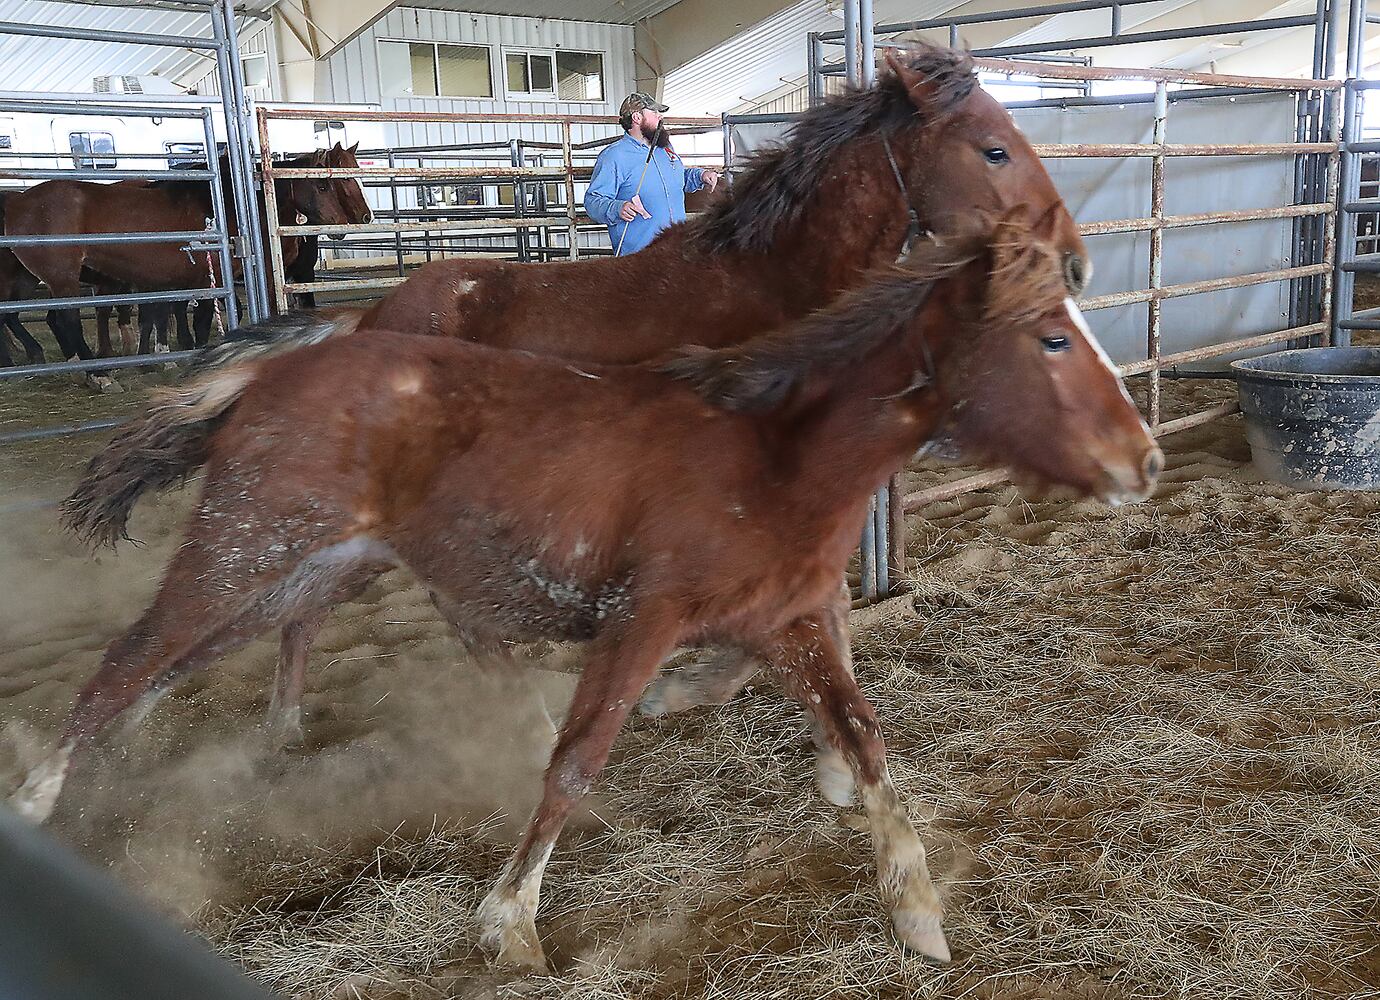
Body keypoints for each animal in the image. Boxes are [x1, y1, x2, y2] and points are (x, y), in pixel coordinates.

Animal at [0, 142, 372, 364]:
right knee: (65, 318)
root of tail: (18, 201)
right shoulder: (215, 278)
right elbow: (203, 319)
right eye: (323, 184)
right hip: (61, 280)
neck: (229, 204)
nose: (355, 220)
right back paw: (96, 372)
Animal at [18, 211, 1164, 965]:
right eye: (1051, 336)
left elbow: (863, 731)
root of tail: (277, 370)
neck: (772, 455)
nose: (1143, 460)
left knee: (182, 664)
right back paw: (37, 800)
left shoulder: (788, 619)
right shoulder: (641, 621)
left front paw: (916, 906)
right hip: (243, 551)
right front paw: (511, 926)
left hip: (302, 568)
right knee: (130, 659)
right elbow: (577, 760)